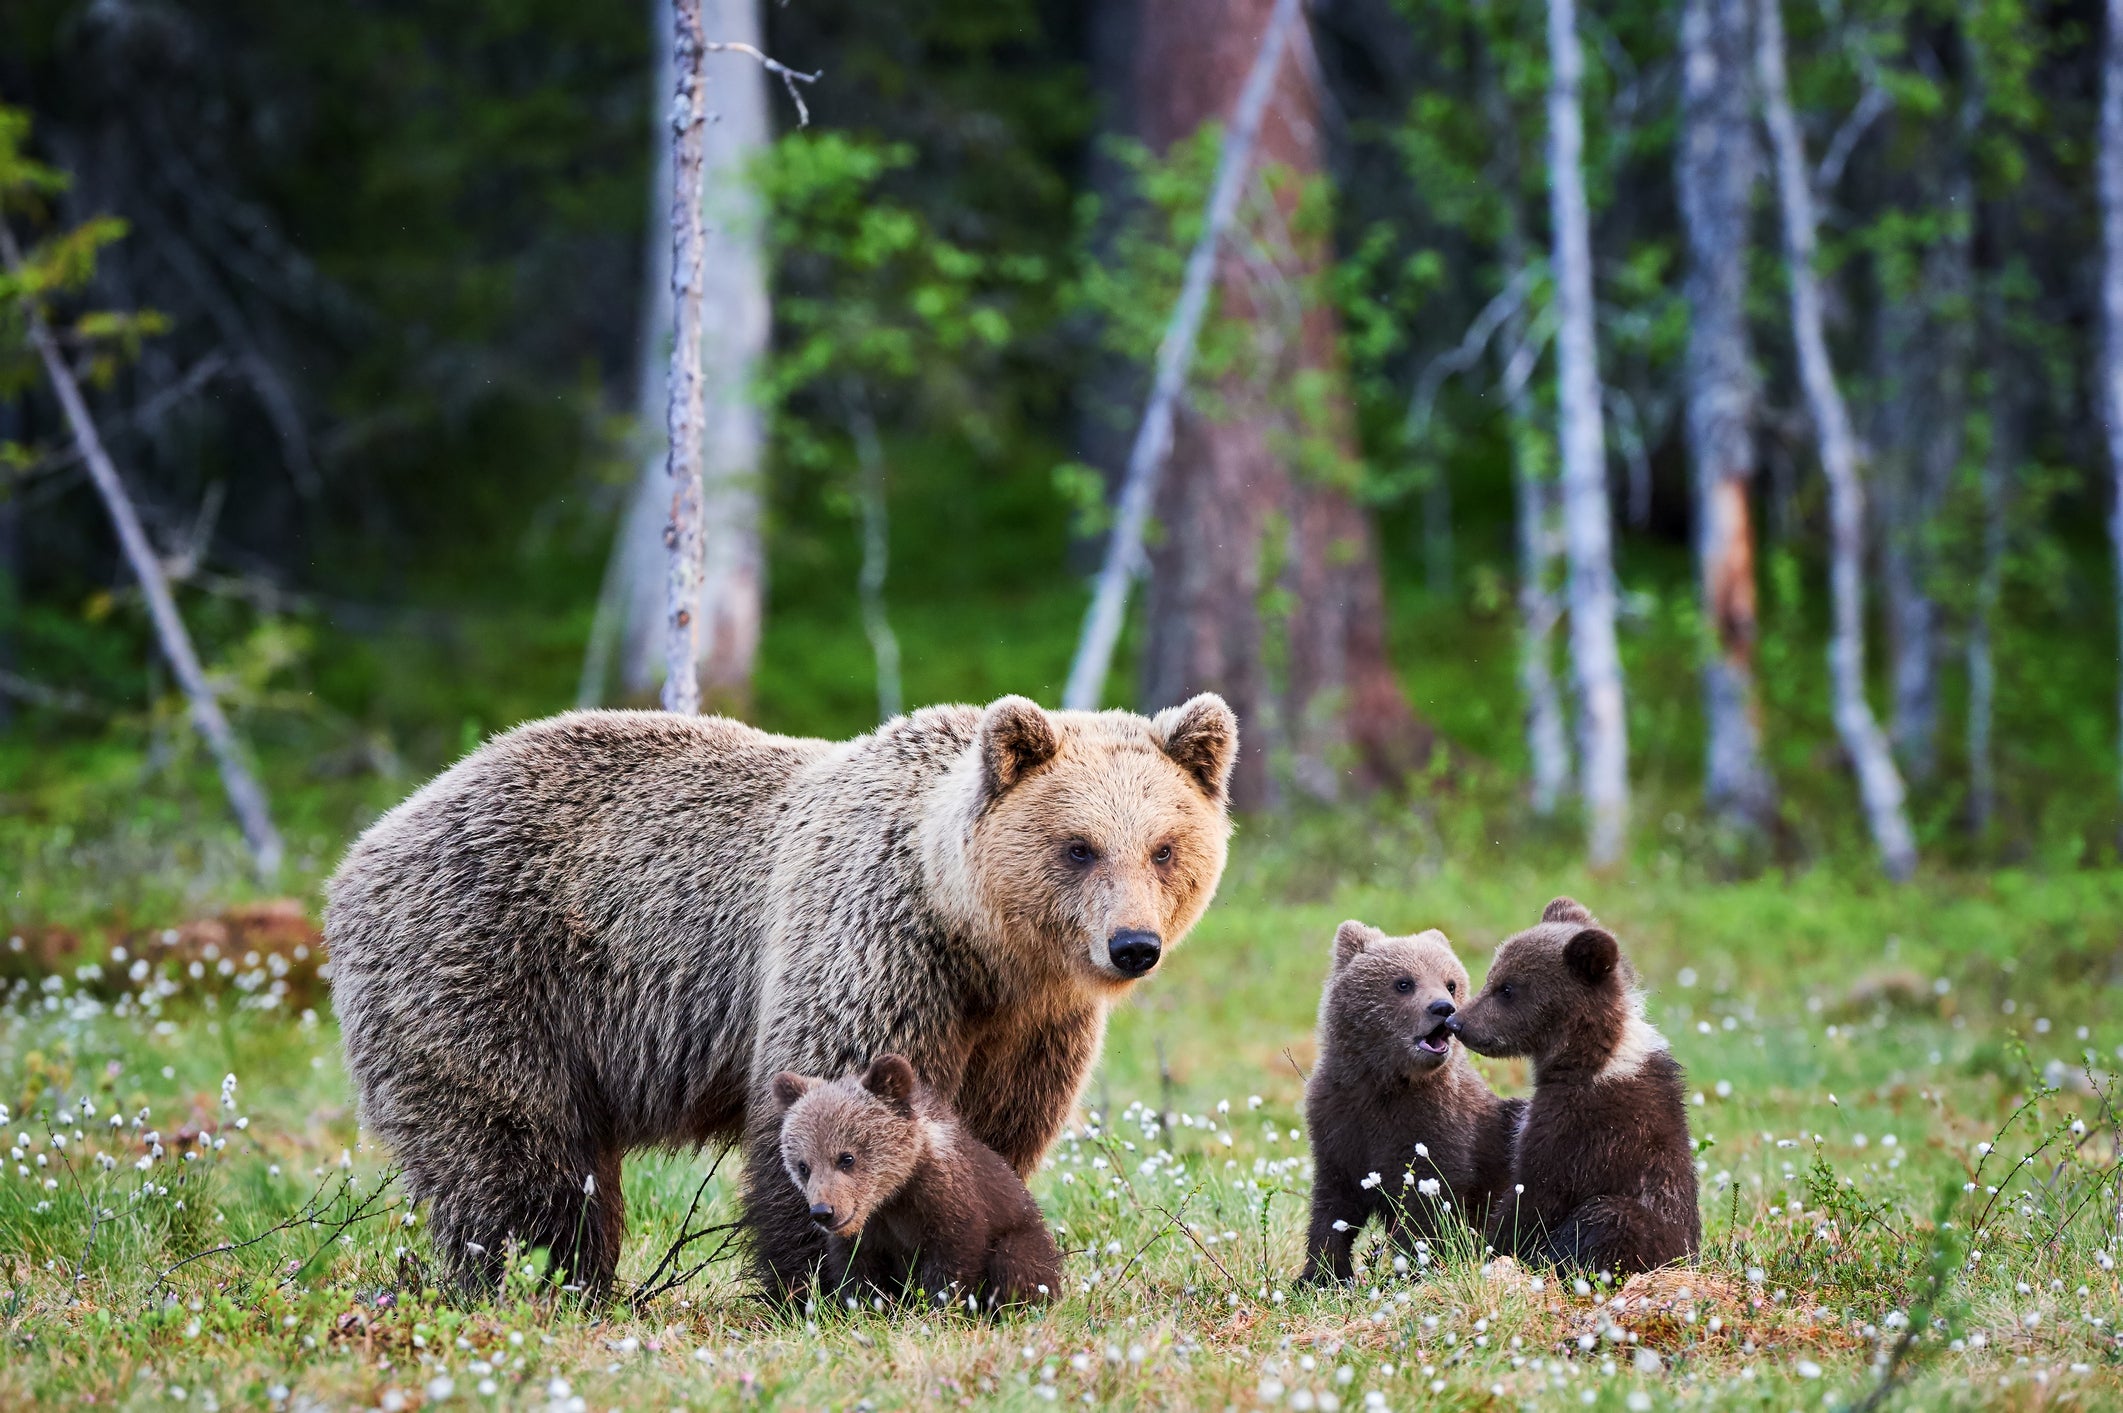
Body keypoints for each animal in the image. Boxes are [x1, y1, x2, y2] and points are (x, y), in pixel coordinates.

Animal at [322, 687, 1239, 1289]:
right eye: (1079, 845)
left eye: (1163, 846)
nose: (1132, 945)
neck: (977, 942)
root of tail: (372, 837)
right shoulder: (874, 944)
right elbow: (824, 1109)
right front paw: (832, 1283)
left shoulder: (1029, 1029)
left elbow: (991, 1136)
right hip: (487, 969)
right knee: (515, 1152)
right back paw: (544, 1277)